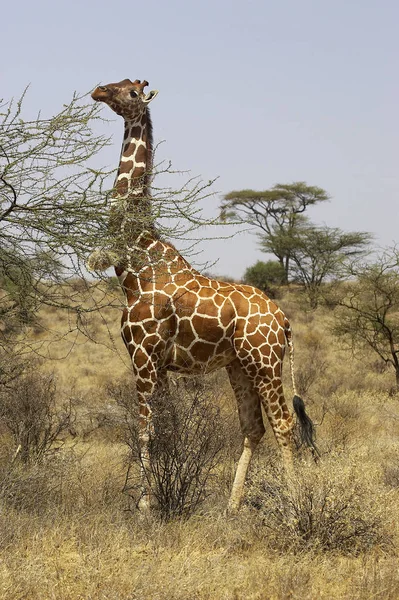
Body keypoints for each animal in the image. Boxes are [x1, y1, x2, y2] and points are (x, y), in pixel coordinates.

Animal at [88, 77, 318, 512]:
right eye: (116, 83)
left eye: (131, 92)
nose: (98, 91)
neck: (135, 265)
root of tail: (284, 320)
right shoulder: (158, 363)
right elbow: (164, 427)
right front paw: (162, 498)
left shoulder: (144, 356)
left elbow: (145, 430)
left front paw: (145, 507)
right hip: (239, 366)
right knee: (254, 427)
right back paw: (231, 507)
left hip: (265, 363)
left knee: (284, 423)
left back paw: (296, 509)